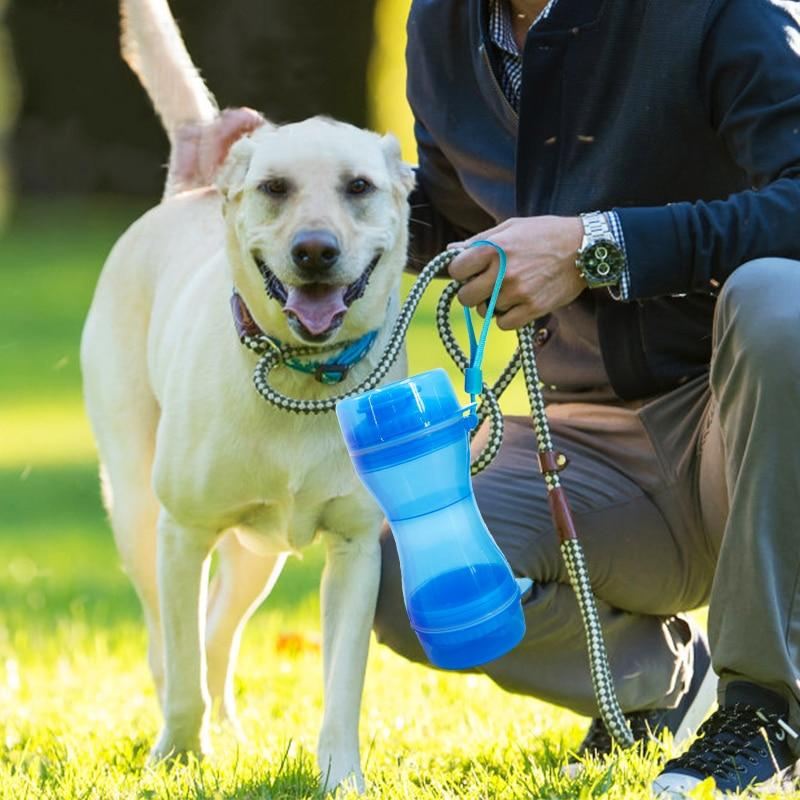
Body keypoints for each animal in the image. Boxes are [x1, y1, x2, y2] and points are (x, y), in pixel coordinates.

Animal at [82, 0, 412, 792]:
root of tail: (192, 189)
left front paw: (341, 779)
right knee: (170, 646)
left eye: (359, 187)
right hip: (136, 510)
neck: (303, 375)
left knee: (217, 636)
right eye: (275, 187)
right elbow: (179, 669)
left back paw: (231, 732)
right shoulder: (183, 534)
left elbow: (342, 684)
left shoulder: (357, 549)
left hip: (258, 558)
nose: (315, 251)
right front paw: (177, 758)